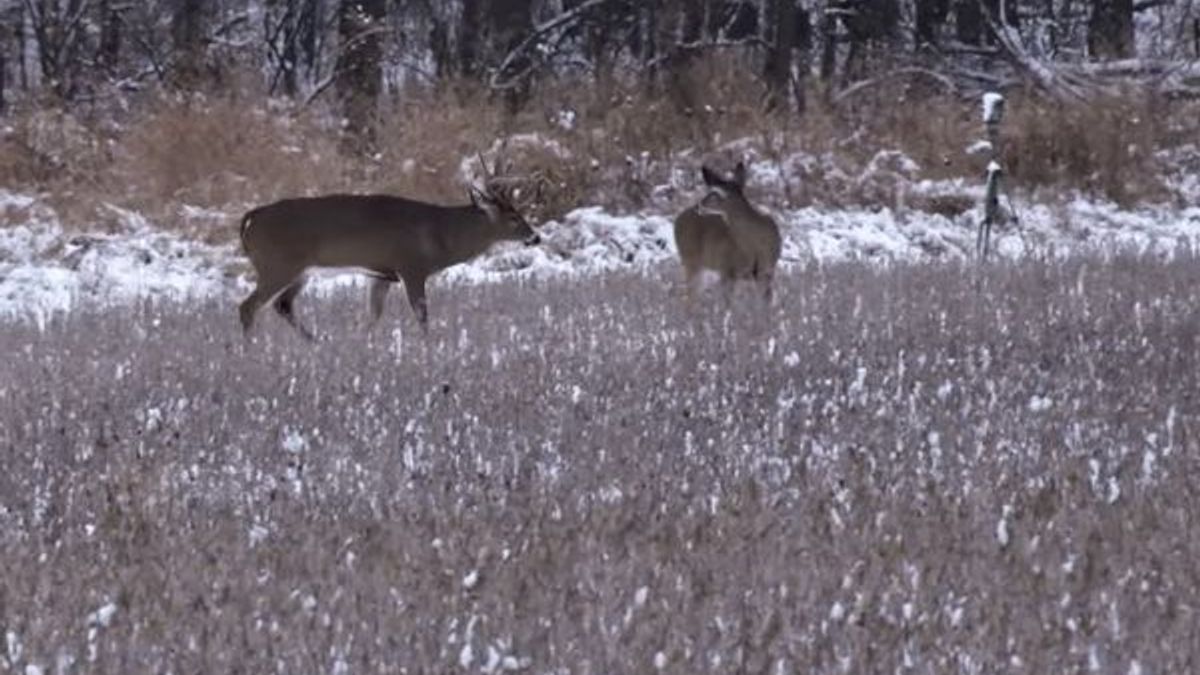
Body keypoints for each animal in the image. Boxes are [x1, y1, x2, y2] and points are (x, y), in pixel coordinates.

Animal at [237, 160, 540, 341]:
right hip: (278, 264)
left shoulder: (380, 274)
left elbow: (372, 317)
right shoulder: (412, 266)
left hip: (301, 271)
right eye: (513, 217)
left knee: (282, 304)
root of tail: (251, 218)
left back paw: (316, 343)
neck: (441, 234)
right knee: (248, 306)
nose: (535, 237)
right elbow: (422, 317)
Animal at [673, 161, 782, 304]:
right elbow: (727, 303)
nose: (698, 206)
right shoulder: (727, 269)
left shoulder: (767, 270)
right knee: (690, 295)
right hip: (690, 259)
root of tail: (679, 217)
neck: (755, 245)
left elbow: (765, 301)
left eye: (715, 193)